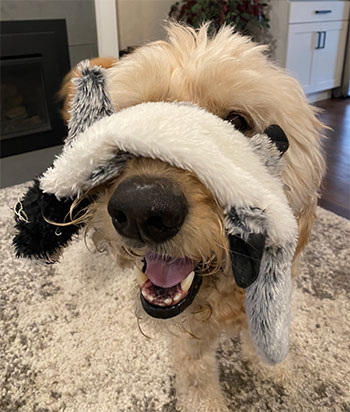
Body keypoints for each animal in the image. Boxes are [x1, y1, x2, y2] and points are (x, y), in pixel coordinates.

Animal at [22, 23, 326, 412]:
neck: (222, 294)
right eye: (134, 118)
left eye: (237, 122)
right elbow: (196, 376)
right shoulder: (188, 336)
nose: (141, 210)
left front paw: (275, 368)